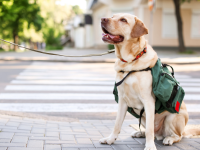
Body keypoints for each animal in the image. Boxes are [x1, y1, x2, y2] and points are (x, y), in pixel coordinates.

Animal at [99, 13, 200, 150]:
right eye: (112, 16)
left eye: (123, 20)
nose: (102, 19)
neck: (130, 63)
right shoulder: (122, 100)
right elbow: (117, 124)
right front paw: (110, 139)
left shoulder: (148, 101)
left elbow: (150, 130)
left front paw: (150, 146)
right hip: (143, 118)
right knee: (151, 131)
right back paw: (139, 133)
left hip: (172, 118)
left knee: (177, 136)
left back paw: (169, 138)